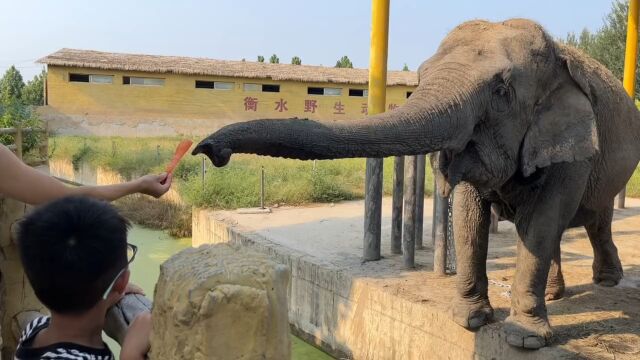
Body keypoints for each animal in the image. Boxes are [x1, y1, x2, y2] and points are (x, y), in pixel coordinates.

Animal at [194, 17, 640, 348]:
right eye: (421, 77)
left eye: (501, 90)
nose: (209, 149)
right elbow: (469, 214)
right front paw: (470, 319)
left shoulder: (574, 144)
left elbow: (543, 219)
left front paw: (525, 340)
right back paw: (556, 293)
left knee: (590, 218)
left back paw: (606, 281)